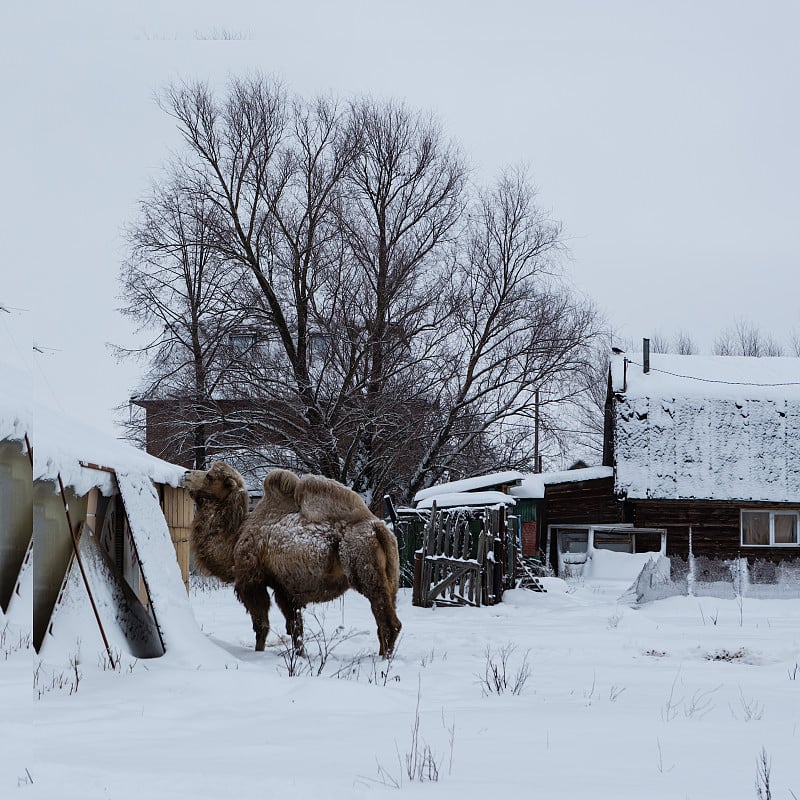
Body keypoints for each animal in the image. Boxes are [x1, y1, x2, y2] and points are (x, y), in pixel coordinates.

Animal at [184, 462, 404, 656]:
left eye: (210, 477)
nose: (186, 474)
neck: (235, 538)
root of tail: (379, 528)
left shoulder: (252, 581)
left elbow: (261, 625)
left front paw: (258, 654)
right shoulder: (284, 589)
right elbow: (295, 628)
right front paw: (300, 655)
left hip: (363, 565)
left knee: (387, 620)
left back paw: (384, 658)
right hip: (391, 577)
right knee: (385, 614)